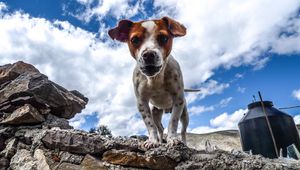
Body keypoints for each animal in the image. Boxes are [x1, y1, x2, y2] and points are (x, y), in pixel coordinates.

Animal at [108, 16, 188, 148]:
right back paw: (160, 140)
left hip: (185, 114)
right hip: (156, 113)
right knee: (160, 127)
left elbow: (173, 122)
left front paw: (172, 139)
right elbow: (150, 125)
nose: (149, 54)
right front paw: (152, 141)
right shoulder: (142, 102)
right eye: (134, 40)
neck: (155, 78)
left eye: (163, 38)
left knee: (183, 130)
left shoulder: (178, 99)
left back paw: (184, 142)